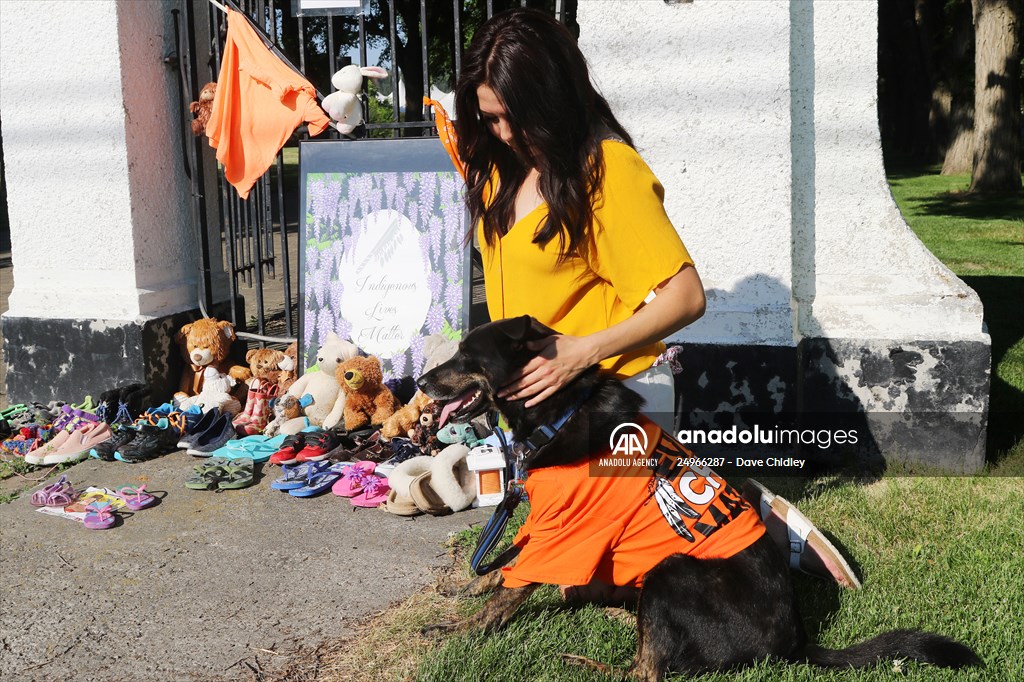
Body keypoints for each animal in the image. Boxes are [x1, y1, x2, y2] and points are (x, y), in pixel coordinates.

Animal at [417, 315, 983, 675]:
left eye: (465, 355)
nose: (419, 381)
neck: (560, 408)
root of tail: (796, 640)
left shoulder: (568, 531)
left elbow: (512, 586)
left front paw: (460, 631)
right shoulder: (546, 521)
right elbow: (506, 563)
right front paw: (463, 589)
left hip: (670, 571)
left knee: (646, 674)